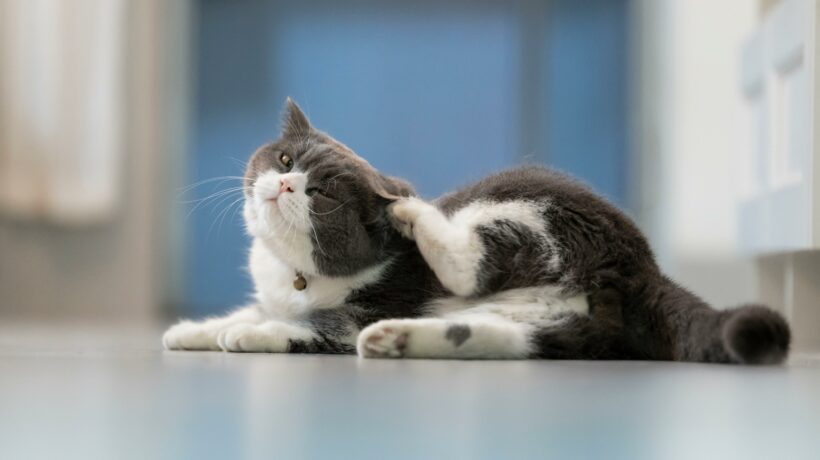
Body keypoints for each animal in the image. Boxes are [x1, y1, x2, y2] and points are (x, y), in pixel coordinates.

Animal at [162, 98, 796, 362]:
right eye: (286, 160)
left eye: (323, 194)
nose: (287, 185)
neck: (294, 276)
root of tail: (644, 265)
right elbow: (251, 310)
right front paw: (192, 331)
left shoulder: (360, 308)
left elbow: (308, 327)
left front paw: (246, 335)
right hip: (562, 324)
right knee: (513, 339)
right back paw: (396, 341)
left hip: (525, 205)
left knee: (472, 265)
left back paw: (414, 216)